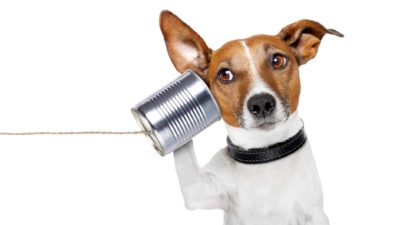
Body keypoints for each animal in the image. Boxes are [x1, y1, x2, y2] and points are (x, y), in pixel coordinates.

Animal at [158, 10, 342, 225]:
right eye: (225, 74)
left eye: (277, 60)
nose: (261, 103)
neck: (265, 153)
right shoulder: (199, 191)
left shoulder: (314, 213)